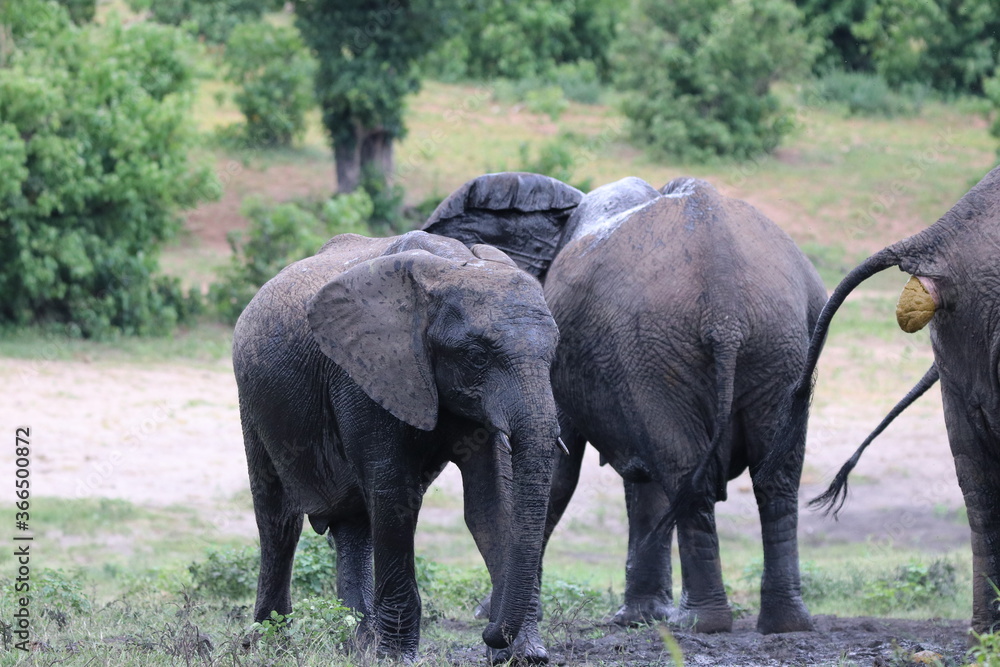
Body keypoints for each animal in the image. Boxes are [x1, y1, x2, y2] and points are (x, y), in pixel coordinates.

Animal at [230, 231, 568, 664]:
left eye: (553, 354)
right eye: (477, 356)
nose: (490, 633)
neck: (451, 266)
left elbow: (492, 504)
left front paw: (525, 656)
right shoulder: (366, 373)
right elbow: (395, 498)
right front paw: (397, 659)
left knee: (353, 524)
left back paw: (357, 645)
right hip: (254, 399)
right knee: (278, 522)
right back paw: (271, 645)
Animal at [426, 170, 824, 636]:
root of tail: (725, 305)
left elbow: (560, 475)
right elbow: (641, 482)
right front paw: (639, 618)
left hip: (667, 347)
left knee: (689, 476)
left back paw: (700, 622)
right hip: (775, 345)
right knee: (774, 479)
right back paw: (784, 624)